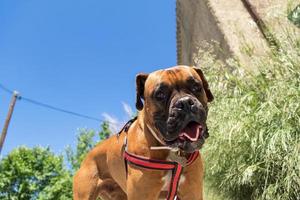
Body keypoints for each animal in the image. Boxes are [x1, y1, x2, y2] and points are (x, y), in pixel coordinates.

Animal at [72, 65, 213, 199]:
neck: (172, 151)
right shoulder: (143, 193)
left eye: (196, 87)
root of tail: (86, 158)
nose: (185, 102)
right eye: (160, 95)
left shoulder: (191, 192)